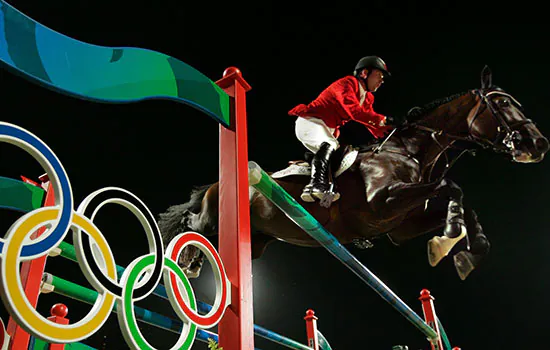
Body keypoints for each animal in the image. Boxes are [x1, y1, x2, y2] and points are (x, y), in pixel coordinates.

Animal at [157, 67, 548, 282]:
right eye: (501, 103)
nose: (538, 144)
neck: (409, 151)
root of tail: (214, 184)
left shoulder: (399, 227)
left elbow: (463, 206)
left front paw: (465, 250)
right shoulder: (382, 203)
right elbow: (452, 186)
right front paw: (451, 238)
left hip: (254, 242)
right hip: (214, 217)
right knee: (193, 226)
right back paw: (184, 260)